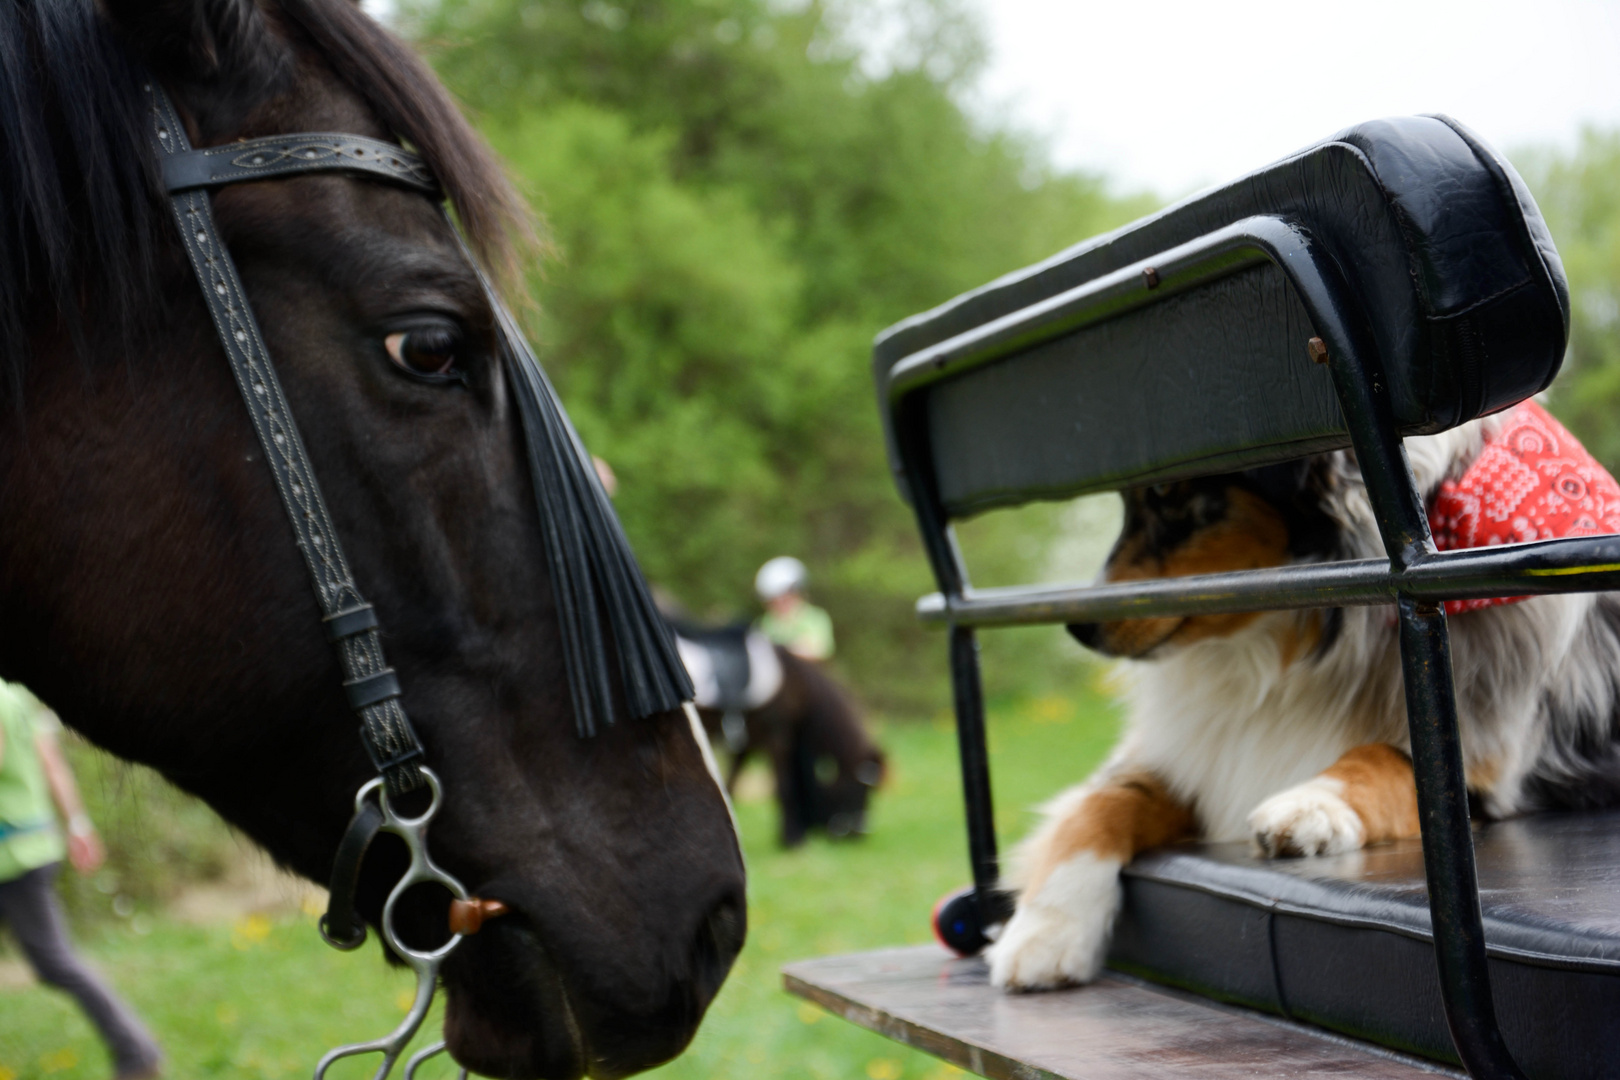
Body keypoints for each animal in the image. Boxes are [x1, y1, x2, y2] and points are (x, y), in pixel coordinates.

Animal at [984, 401, 1620, 990]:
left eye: (1168, 493)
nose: (1078, 627)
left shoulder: (1496, 773)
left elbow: (1388, 759)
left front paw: (1313, 805)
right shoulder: (1190, 757)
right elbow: (1099, 807)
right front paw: (1044, 933)